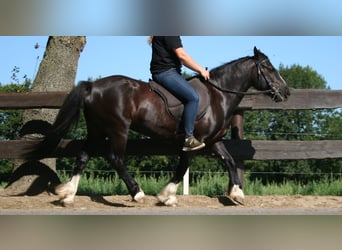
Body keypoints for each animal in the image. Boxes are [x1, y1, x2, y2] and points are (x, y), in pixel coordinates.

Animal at [25, 47, 290, 207]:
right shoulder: (193, 141)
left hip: (97, 130)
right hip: (118, 129)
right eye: (269, 68)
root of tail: (92, 87)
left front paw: (237, 194)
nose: (286, 92)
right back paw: (137, 193)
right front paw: (166, 196)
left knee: (83, 156)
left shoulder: (213, 140)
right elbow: (182, 168)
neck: (218, 95)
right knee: (115, 158)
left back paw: (67, 194)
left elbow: (231, 161)